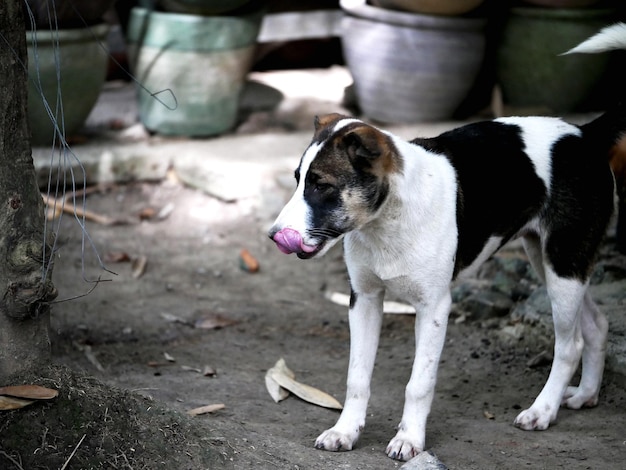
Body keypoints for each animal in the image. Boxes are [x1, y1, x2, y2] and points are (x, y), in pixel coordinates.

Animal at [266, 23, 624, 460]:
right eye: (298, 179)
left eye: (321, 186)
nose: (273, 235)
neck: (386, 222)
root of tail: (585, 134)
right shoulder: (364, 299)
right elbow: (357, 377)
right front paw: (345, 431)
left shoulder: (434, 306)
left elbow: (418, 383)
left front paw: (409, 439)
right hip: (551, 260)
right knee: (596, 324)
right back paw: (584, 395)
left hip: (564, 261)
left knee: (570, 343)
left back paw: (542, 411)